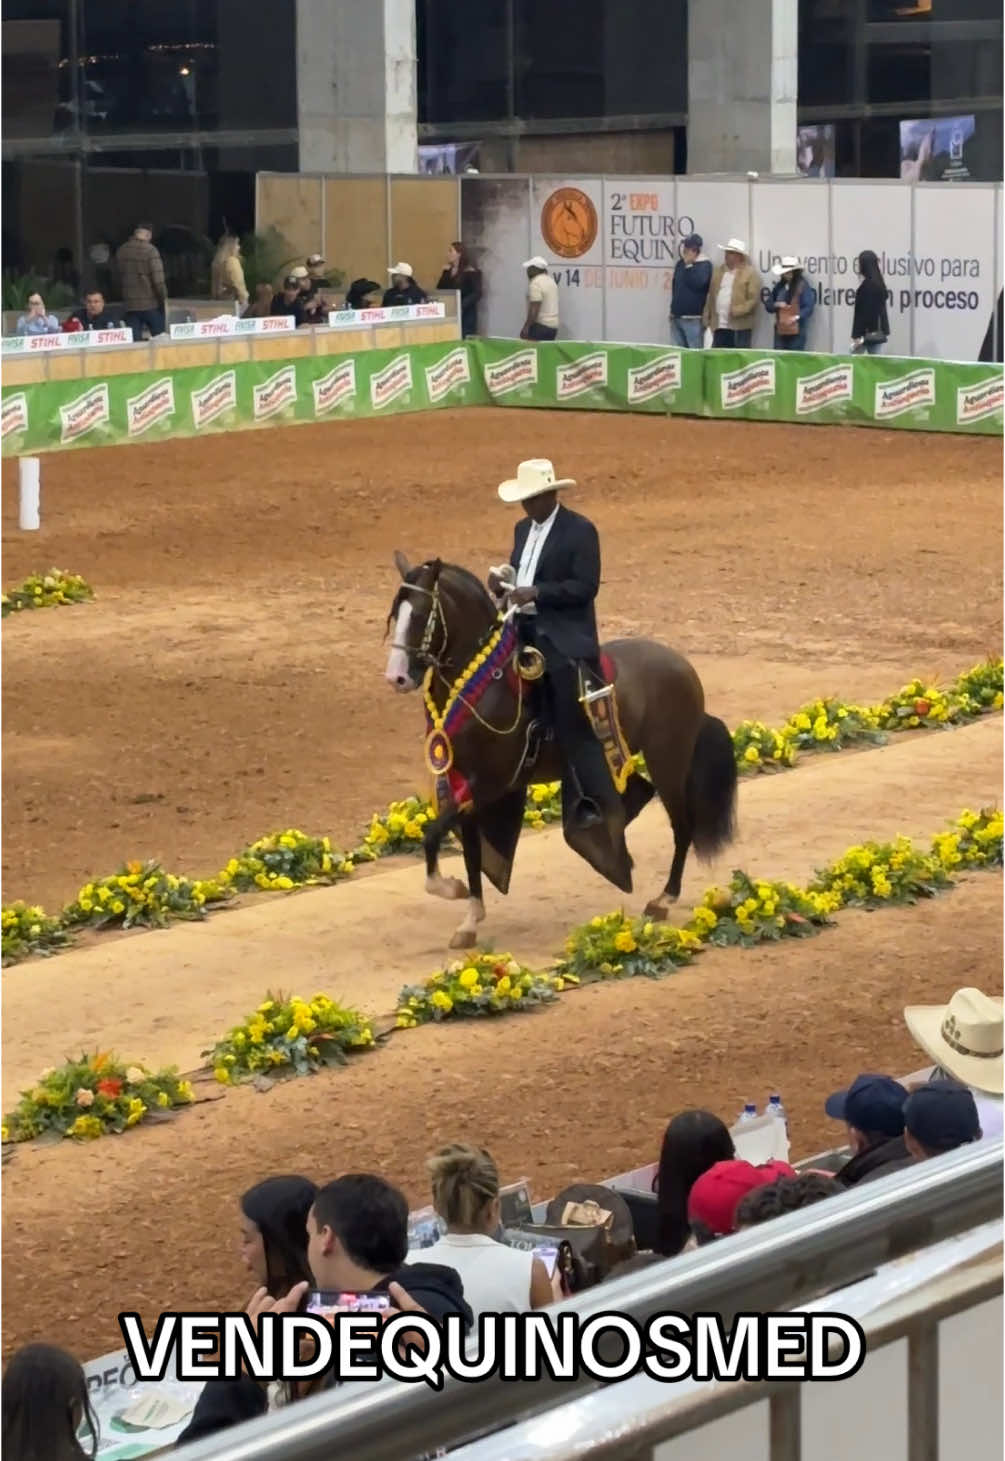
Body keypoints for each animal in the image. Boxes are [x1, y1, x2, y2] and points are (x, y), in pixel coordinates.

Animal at [385, 552, 738, 949]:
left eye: (420, 615)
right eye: (395, 614)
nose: (397, 677)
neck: (483, 684)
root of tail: (682, 666)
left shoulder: (492, 782)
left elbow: (433, 834)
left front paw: (452, 889)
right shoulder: (464, 780)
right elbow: (471, 850)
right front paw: (470, 919)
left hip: (669, 760)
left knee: (681, 825)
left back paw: (663, 898)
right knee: (639, 795)